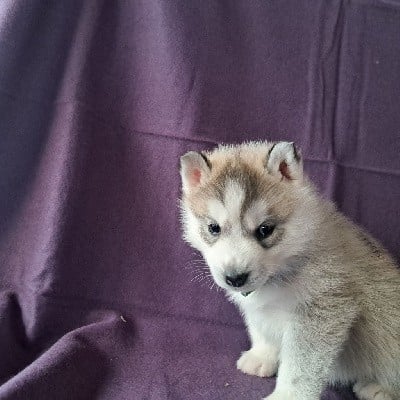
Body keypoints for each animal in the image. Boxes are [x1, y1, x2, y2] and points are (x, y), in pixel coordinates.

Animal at [179, 141, 400, 400]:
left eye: (265, 230)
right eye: (213, 228)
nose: (235, 278)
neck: (287, 262)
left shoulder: (321, 311)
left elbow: (299, 367)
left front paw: (288, 395)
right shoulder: (260, 309)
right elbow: (262, 329)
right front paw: (262, 356)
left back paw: (380, 388)